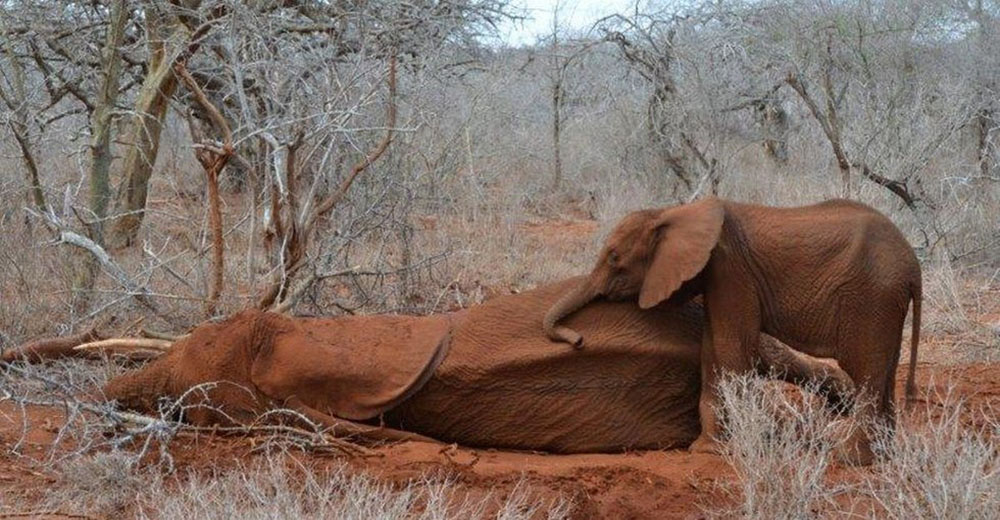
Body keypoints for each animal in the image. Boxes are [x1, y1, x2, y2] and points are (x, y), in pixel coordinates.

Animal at [548, 197, 920, 466]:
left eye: (613, 258)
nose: (578, 340)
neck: (673, 211)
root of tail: (913, 264)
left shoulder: (731, 272)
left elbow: (731, 348)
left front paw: (727, 449)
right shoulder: (717, 277)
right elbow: (711, 350)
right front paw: (707, 450)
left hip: (871, 297)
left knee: (866, 370)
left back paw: (849, 459)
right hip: (885, 302)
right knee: (884, 369)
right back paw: (884, 456)